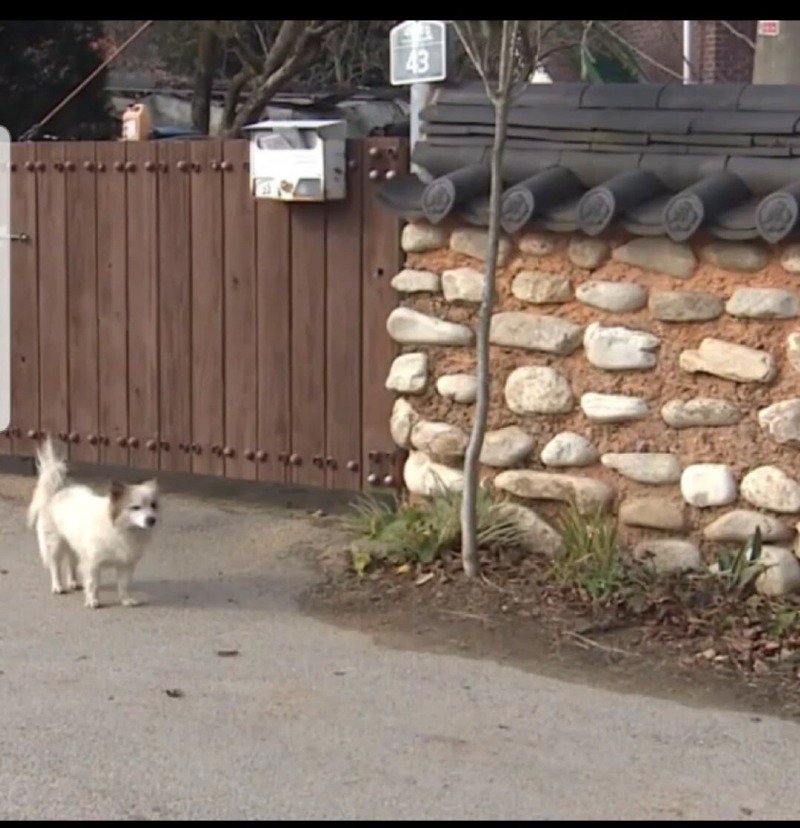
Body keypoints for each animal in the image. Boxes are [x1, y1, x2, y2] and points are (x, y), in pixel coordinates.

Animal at [26, 440, 159, 608]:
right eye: (136, 507)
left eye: (153, 506)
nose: (152, 519)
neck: (120, 529)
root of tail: (58, 491)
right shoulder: (93, 563)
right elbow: (93, 584)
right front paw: (92, 600)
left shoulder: (125, 564)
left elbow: (123, 585)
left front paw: (125, 599)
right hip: (55, 543)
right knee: (55, 566)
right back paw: (57, 586)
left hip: (73, 544)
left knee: (71, 562)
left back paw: (73, 582)